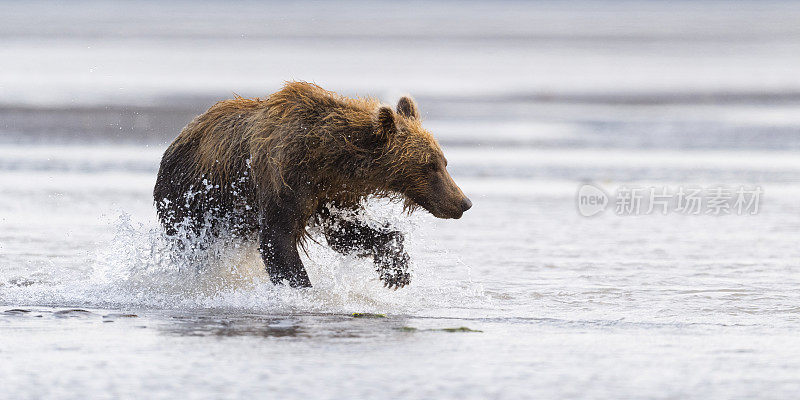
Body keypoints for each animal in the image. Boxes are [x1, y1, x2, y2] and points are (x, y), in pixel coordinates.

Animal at [153, 81, 472, 288]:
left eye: (444, 161)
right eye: (429, 165)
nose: (463, 202)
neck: (328, 157)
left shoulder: (332, 194)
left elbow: (347, 234)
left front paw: (397, 271)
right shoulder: (285, 180)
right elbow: (277, 239)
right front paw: (302, 287)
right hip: (189, 199)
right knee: (193, 247)